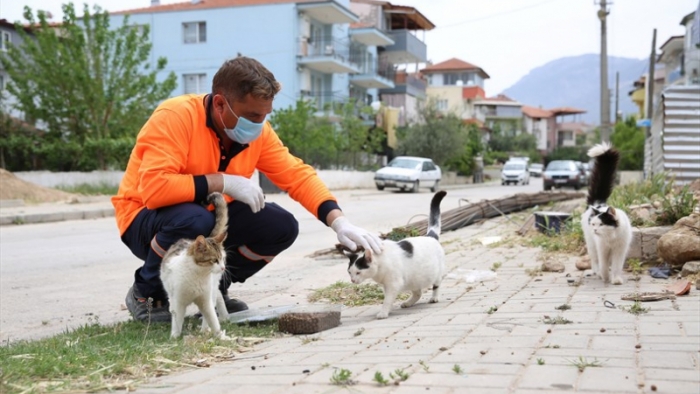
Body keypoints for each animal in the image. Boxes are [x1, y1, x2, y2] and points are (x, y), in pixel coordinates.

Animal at [160, 192, 228, 338]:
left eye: (222, 259)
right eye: (214, 260)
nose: (223, 268)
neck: (198, 274)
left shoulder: (205, 300)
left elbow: (211, 317)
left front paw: (218, 334)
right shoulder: (178, 301)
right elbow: (177, 320)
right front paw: (175, 337)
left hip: (212, 288)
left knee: (216, 298)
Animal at [346, 189, 448, 318]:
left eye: (358, 272)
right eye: (350, 272)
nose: (353, 280)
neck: (380, 265)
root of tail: (430, 236)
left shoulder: (393, 284)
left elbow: (387, 300)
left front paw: (383, 313)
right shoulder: (386, 285)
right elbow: (388, 299)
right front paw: (388, 310)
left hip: (435, 274)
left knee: (436, 285)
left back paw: (434, 298)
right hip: (414, 279)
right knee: (418, 293)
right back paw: (408, 303)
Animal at [580, 143, 636, 284]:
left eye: (601, 224)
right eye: (594, 224)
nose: (595, 230)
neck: (611, 237)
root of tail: (598, 202)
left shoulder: (619, 250)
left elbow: (616, 266)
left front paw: (615, 279)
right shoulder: (602, 250)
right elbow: (603, 265)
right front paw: (605, 277)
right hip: (591, 244)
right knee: (595, 260)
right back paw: (597, 272)